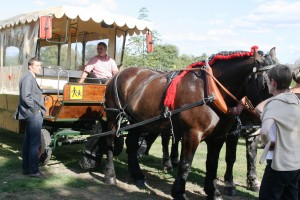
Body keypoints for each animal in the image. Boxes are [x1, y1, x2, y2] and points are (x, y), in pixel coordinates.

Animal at [103, 47, 270, 200]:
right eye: (266, 82)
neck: (211, 91)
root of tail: (118, 74)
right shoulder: (192, 134)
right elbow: (186, 164)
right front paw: (179, 192)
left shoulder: (218, 138)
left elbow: (213, 163)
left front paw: (213, 192)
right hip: (113, 118)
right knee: (110, 142)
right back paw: (110, 175)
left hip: (137, 121)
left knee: (131, 143)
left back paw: (137, 176)